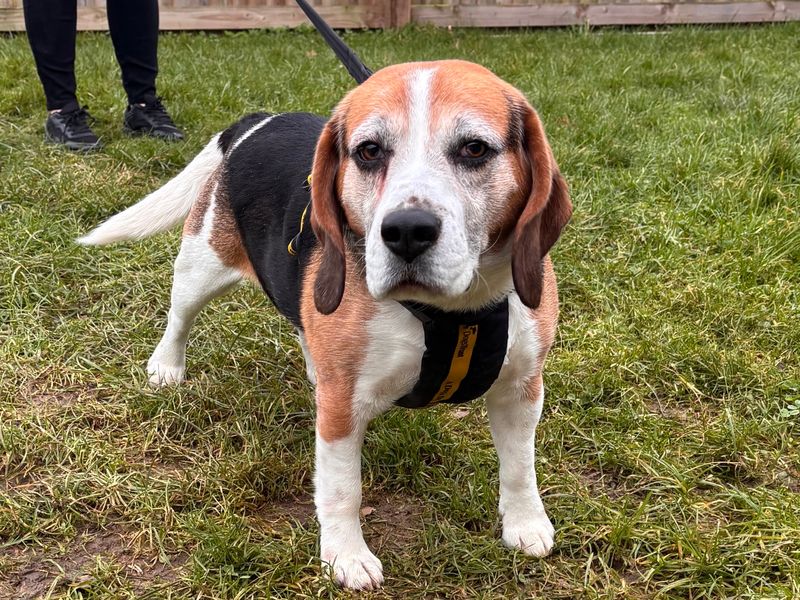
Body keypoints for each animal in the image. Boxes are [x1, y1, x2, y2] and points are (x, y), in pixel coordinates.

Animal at [79, 62, 568, 592]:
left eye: (474, 148)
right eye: (369, 151)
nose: (406, 232)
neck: (454, 311)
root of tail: (259, 120)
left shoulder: (522, 389)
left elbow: (519, 467)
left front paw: (525, 524)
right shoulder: (341, 409)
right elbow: (342, 489)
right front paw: (346, 556)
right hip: (201, 265)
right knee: (179, 318)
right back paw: (167, 367)